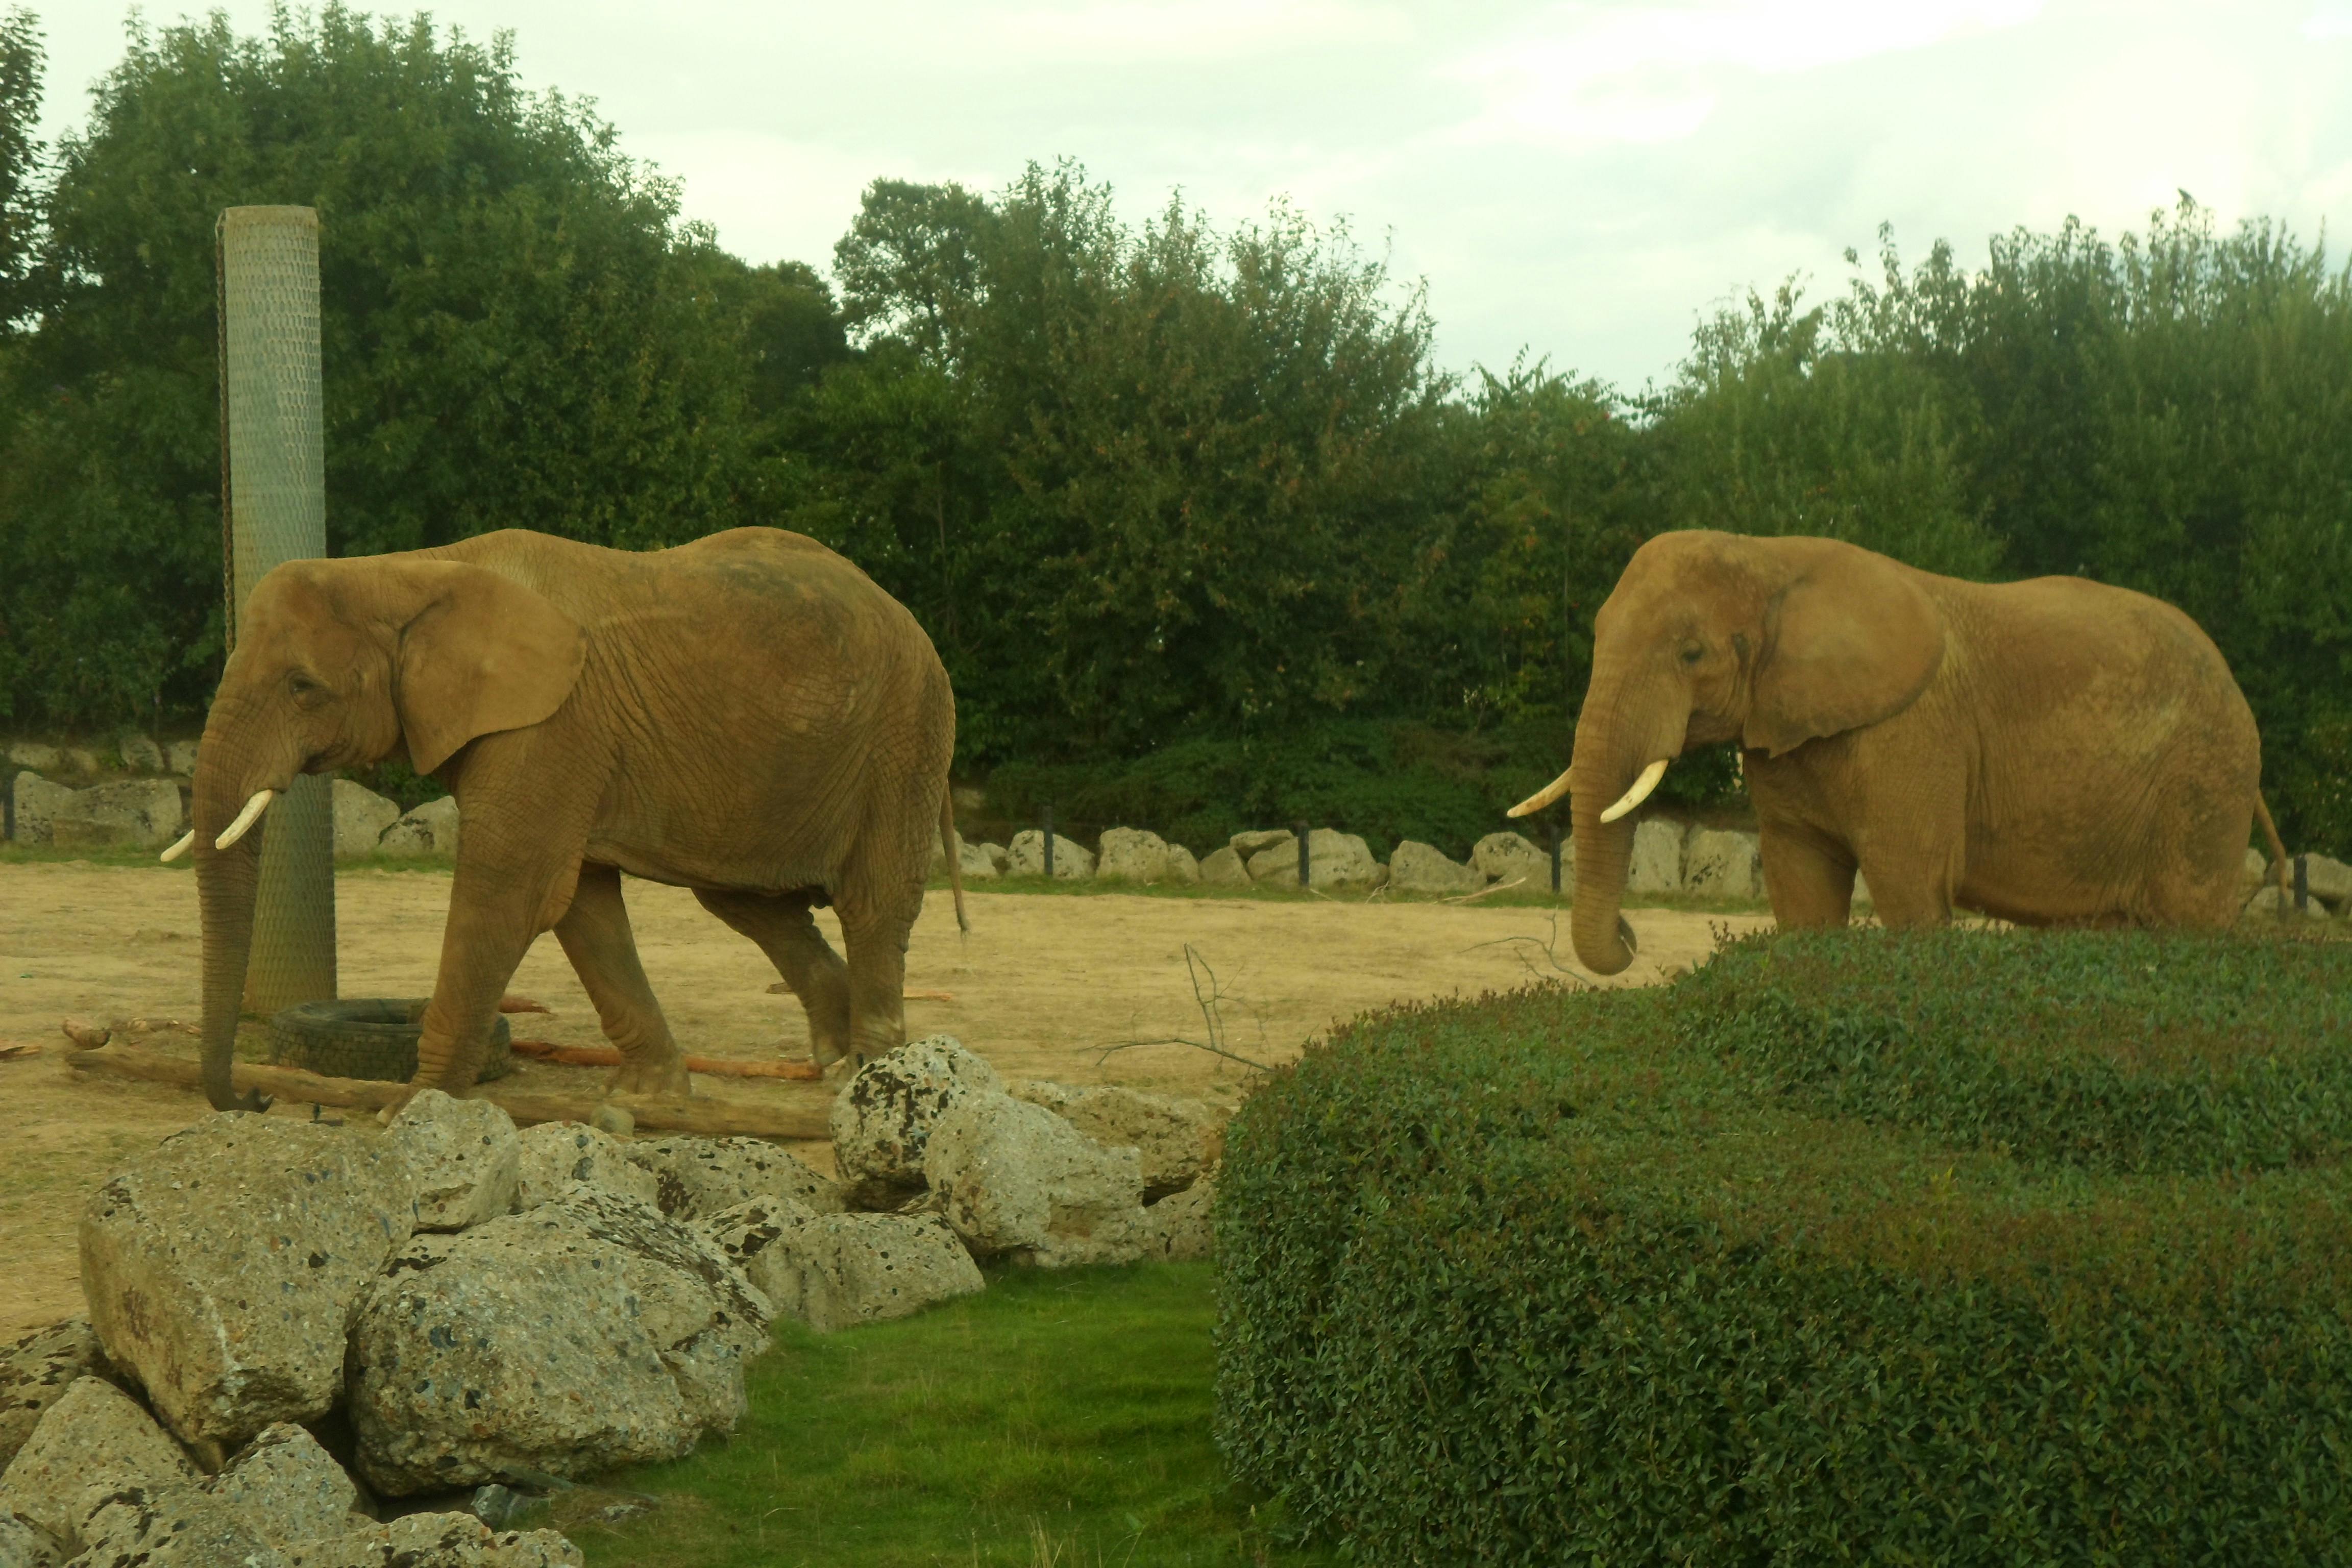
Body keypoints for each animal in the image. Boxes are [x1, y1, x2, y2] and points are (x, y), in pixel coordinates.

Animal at [176, 526, 964, 1113]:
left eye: (302, 686)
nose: (255, 1098)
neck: (411, 573)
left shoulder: (553, 725)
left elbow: (511, 892)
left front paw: (411, 1112)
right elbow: (583, 907)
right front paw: (644, 1101)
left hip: (906, 734)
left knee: (872, 905)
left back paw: (872, 1079)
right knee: (753, 907)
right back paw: (838, 1064)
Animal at [1509, 530, 2285, 975]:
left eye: (1692, 653)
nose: (1633, 935)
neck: (1770, 554)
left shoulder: (1912, 734)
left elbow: (1911, 884)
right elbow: (1801, 886)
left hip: (2206, 777)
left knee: (2189, 921)